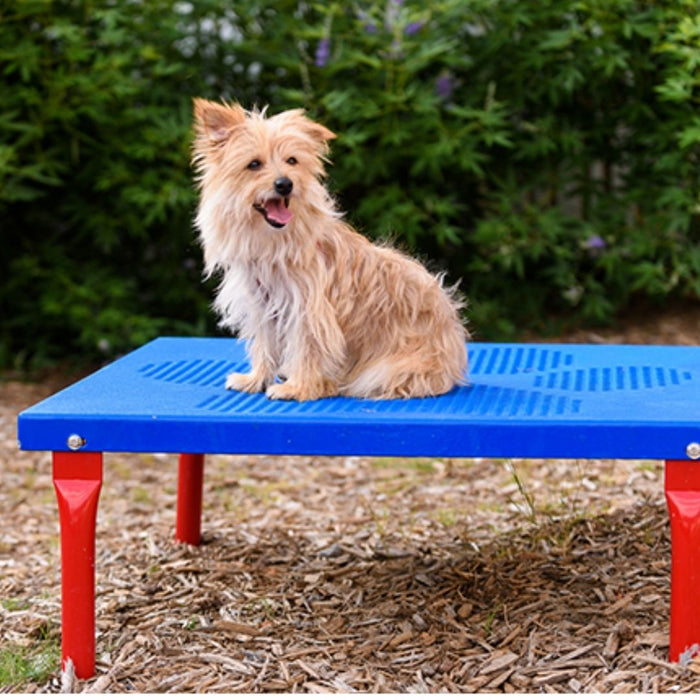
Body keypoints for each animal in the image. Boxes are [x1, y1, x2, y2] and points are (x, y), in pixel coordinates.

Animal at [190, 100, 470, 402]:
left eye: (292, 161)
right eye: (253, 164)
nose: (285, 184)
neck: (275, 243)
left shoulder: (308, 311)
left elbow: (308, 348)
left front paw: (298, 388)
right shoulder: (262, 308)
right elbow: (265, 346)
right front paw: (255, 380)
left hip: (390, 369)